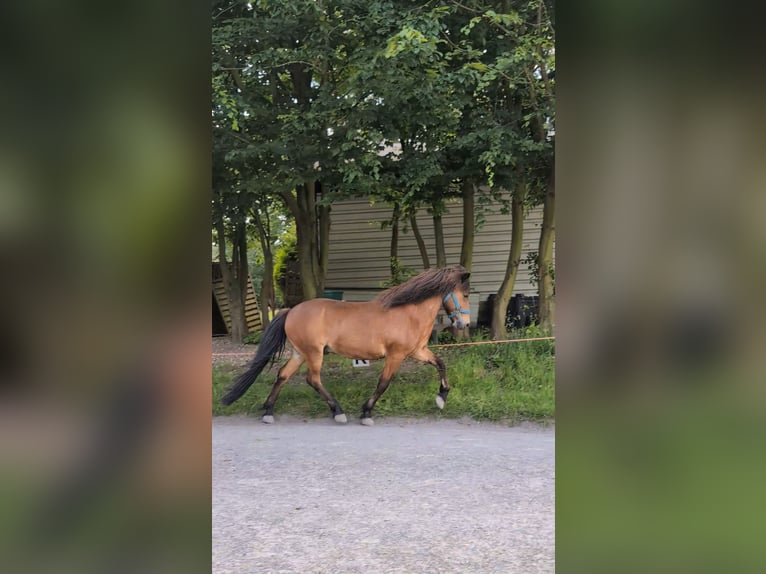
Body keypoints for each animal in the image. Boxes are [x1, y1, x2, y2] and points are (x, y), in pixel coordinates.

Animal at [222, 264, 472, 424]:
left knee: (283, 375)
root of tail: (291, 310)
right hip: (314, 353)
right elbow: (383, 383)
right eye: (466, 294)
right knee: (312, 379)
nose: (465, 323)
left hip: (300, 353)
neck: (409, 313)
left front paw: (441, 399)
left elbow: (440, 364)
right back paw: (338, 412)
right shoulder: (396, 355)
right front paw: (366, 413)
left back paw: (268, 412)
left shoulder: (418, 351)